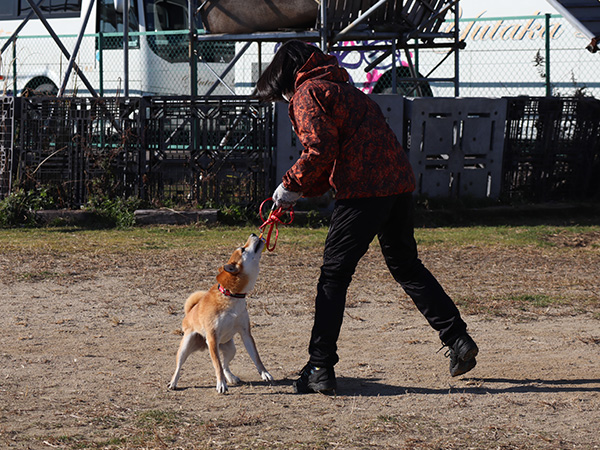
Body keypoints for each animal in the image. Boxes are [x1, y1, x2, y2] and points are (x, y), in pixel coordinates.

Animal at [168, 234, 274, 392]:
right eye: (242, 249)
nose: (254, 234)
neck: (231, 295)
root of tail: (189, 313)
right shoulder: (212, 337)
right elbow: (216, 365)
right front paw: (221, 384)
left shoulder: (246, 333)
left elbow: (256, 357)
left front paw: (265, 373)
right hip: (187, 346)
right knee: (179, 367)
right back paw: (173, 382)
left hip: (230, 348)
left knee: (225, 365)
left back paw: (231, 377)